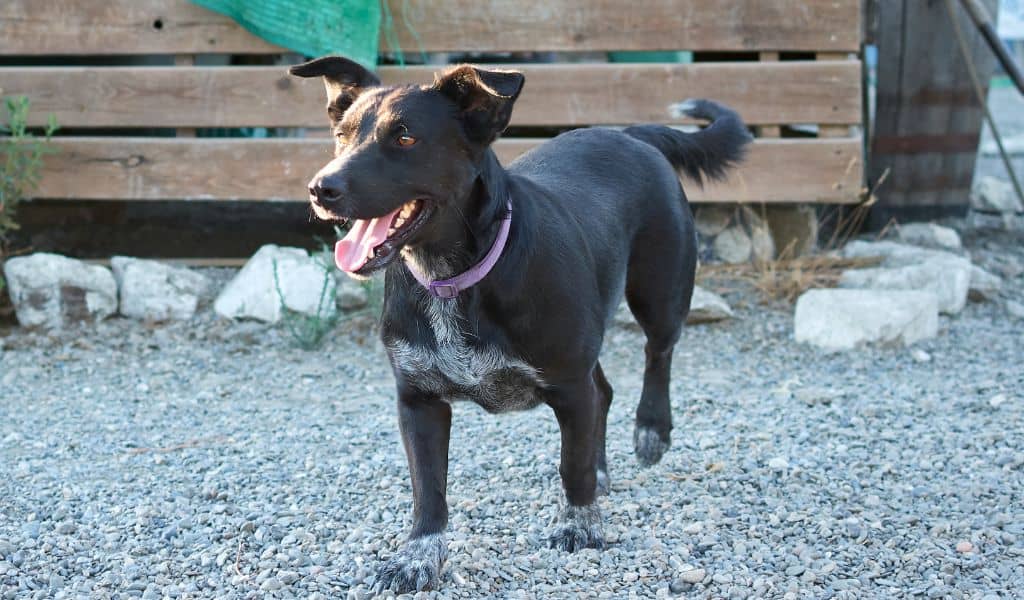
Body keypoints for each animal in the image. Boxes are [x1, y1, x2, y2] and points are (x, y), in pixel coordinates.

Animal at [290, 56, 753, 593]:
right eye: (341, 135)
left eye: (405, 137)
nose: (320, 188)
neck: (452, 277)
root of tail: (629, 134)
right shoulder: (418, 400)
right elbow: (428, 492)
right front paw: (416, 557)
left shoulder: (568, 386)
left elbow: (571, 465)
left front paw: (579, 525)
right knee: (604, 390)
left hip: (659, 292)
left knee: (658, 354)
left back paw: (651, 431)